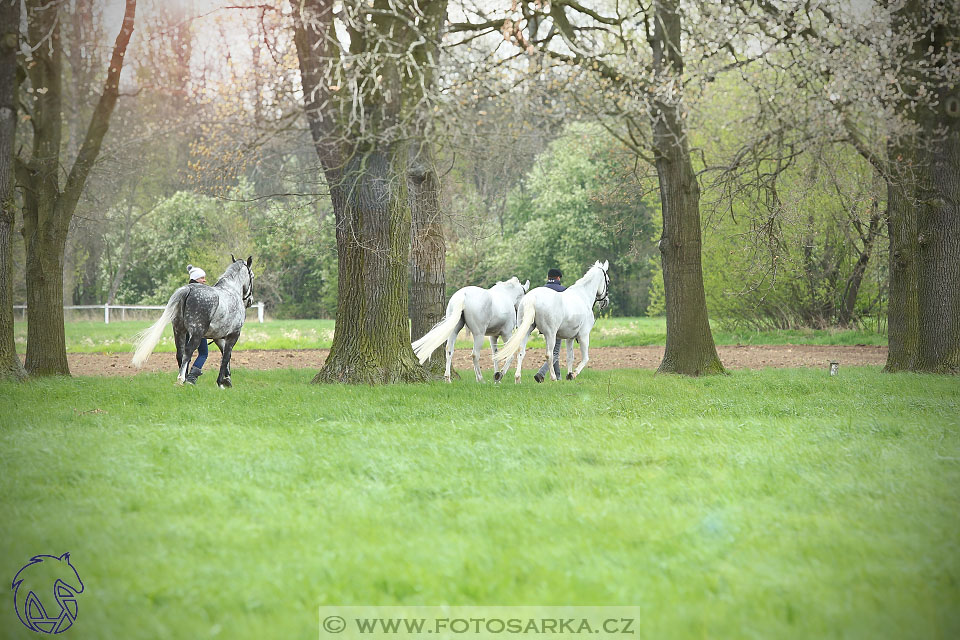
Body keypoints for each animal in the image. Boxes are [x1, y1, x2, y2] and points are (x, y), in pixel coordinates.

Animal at [135, 254, 256, 384]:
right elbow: (226, 356)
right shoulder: (234, 335)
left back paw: (186, 379)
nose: (250, 301)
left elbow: (225, 355)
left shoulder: (218, 337)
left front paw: (227, 379)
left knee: (180, 353)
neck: (231, 289)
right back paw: (181, 379)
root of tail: (188, 289)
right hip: (196, 334)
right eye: (252, 276)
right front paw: (221, 382)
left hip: (179, 331)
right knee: (188, 352)